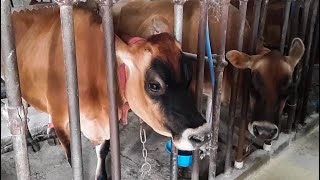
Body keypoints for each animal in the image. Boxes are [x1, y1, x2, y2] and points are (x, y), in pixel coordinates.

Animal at [6, 3, 211, 179]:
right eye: (154, 85)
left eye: (189, 77)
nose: (202, 135)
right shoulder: (61, 119)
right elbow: (73, 157)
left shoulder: (108, 119)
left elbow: (103, 149)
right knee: (19, 112)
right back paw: (29, 140)